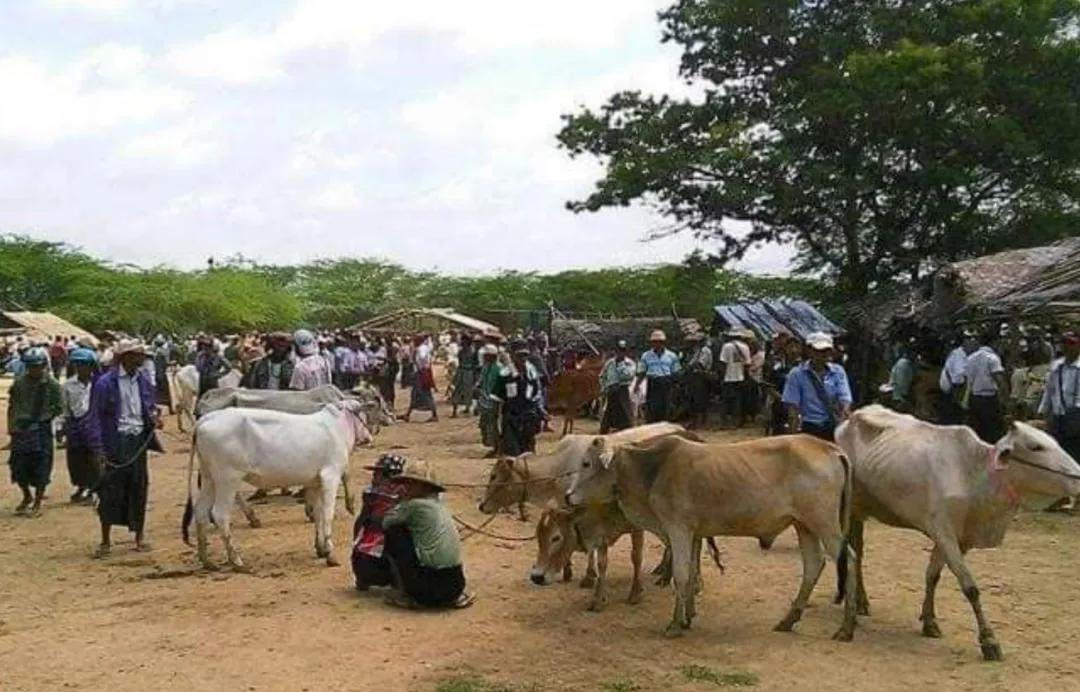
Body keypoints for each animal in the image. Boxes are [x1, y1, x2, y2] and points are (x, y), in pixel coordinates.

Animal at [183, 399, 373, 565]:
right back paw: (236, 559)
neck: (337, 426)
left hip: (209, 478)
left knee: (200, 512)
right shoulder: (330, 476)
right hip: (227, 479)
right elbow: (327, 514)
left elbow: (318, 514)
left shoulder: (315, 483)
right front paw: (330, 553)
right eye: (363, 415)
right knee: (220, 514)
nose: (369, 437)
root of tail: (205, 419)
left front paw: (320, 548)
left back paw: (206, 560)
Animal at [561, 433, 855, 639]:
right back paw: (788, 620)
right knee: (813, 565)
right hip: (804, 526)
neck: (652, 470)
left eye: (586, 463)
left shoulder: (678, 530)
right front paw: (688, 616)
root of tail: (831, 449)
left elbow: (680, 575)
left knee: (848, 560)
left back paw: (846, 629)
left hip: (824, 524)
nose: (568, 496)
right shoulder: (693, 534)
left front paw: (675, 625)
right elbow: (691, 573)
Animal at [838, 405, 1080, 656]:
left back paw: (862, 602)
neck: (974, 476)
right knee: (855, 553)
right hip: (851, 508)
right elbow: (970, 587)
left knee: (858, 552)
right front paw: (988, 640)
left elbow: (933, 575)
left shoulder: (960, 539)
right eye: (1035, 447)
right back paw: (857, 604)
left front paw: (929, 621)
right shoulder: (944, 533)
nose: (1077, 476)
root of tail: (853, 415)